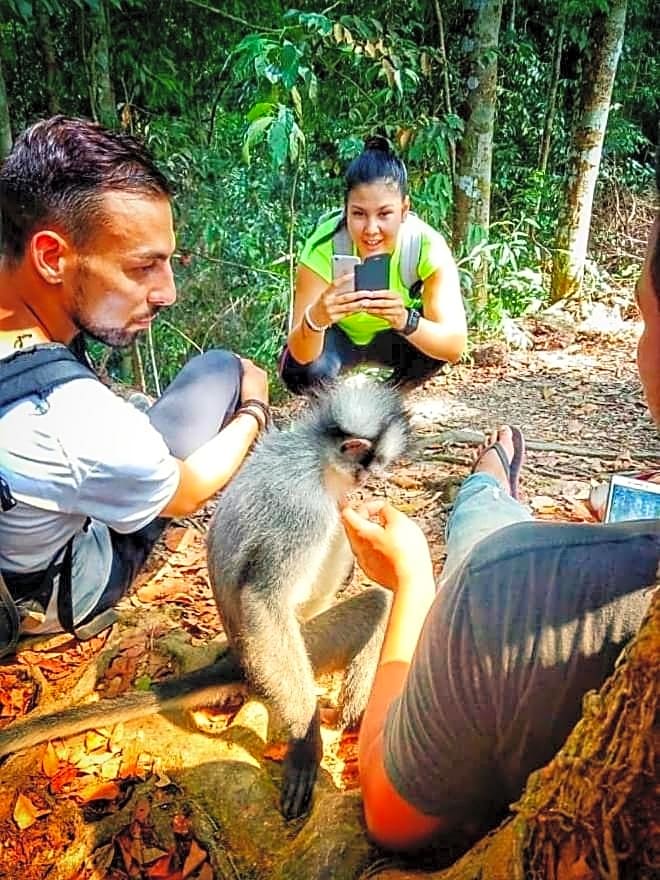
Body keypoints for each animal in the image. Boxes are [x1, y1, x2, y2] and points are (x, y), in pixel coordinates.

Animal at [0, 376, 412, 820]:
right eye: (370, 465)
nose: (367, 482)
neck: (316, 456)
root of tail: (239, 662)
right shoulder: (303, 508)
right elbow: (263, 599)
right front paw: (305, 740)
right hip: (295, 651)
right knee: (375, 604)